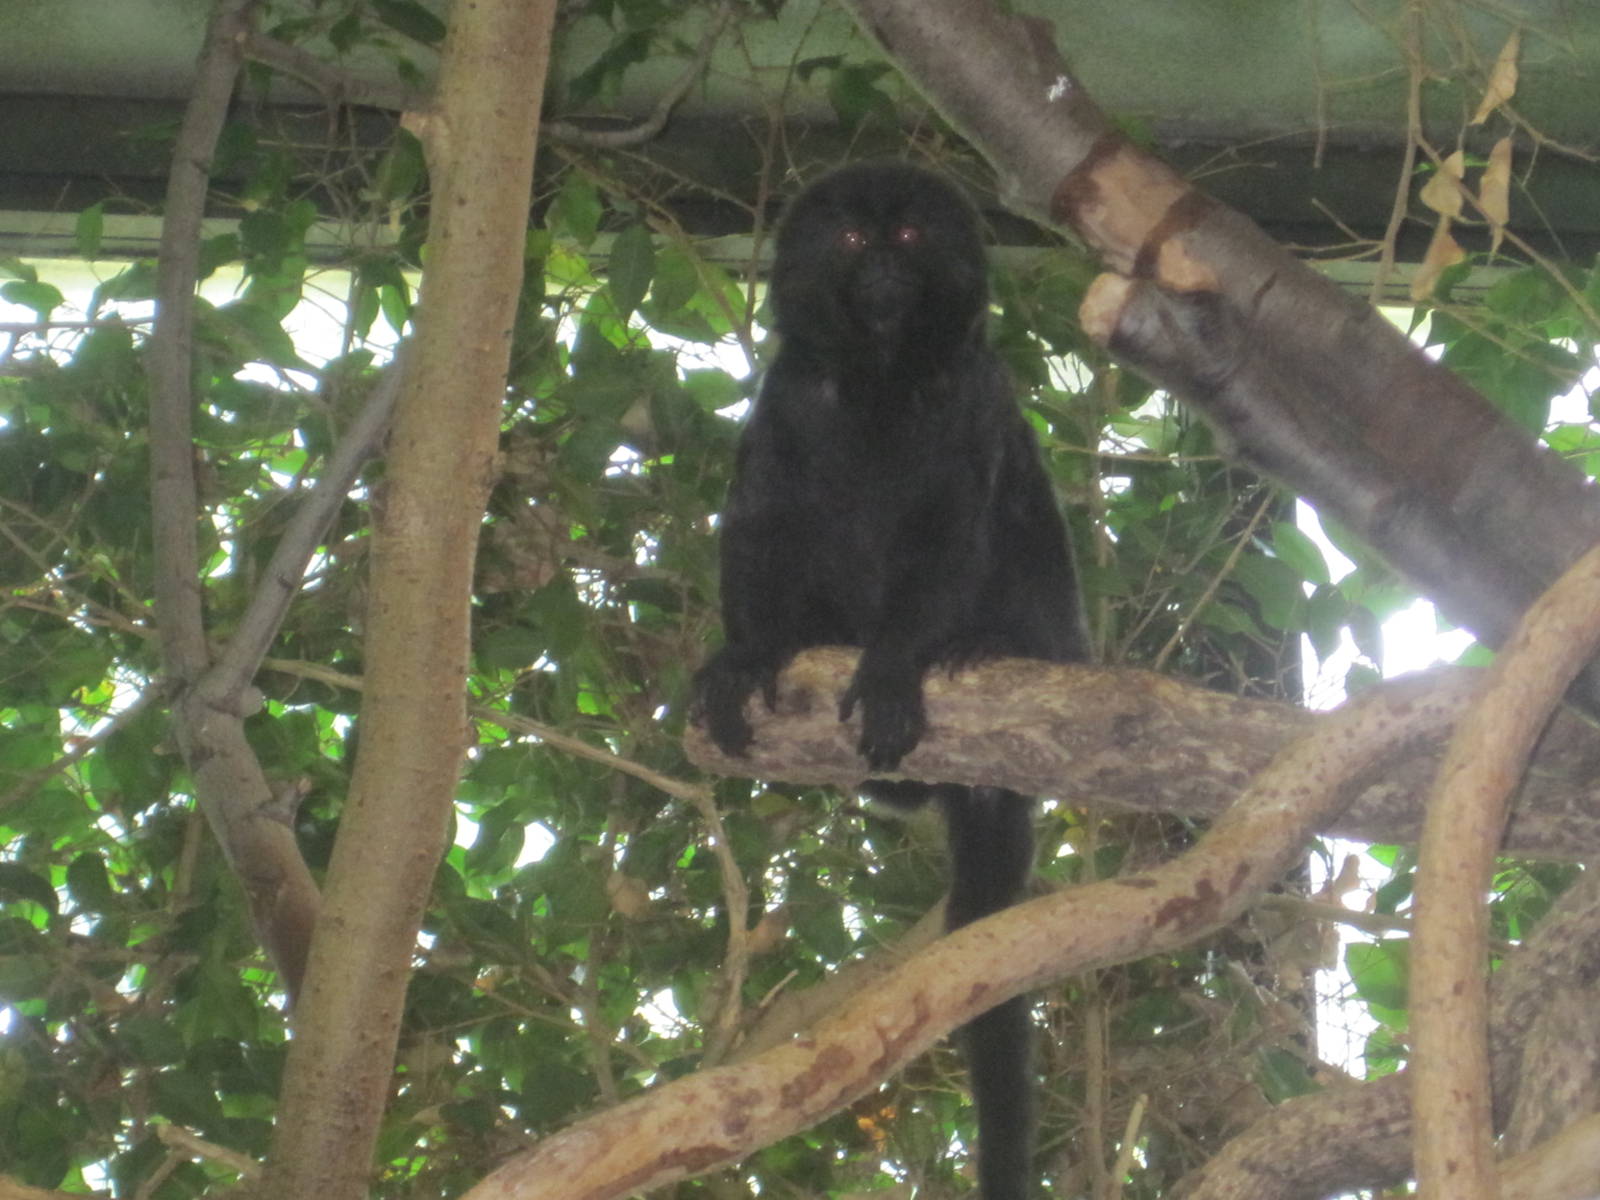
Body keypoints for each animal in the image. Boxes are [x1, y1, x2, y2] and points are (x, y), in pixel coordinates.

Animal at [693, 161, 1089, 1200]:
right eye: (847, 239)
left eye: (908, 236)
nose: (877, 262)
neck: (878, 377)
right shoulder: (786, 399)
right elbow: (763, 520)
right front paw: (748, 656)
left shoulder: (974, 396)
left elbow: (950, 528)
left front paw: (898, 667)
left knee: (1018, 515)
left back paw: (984, 649)